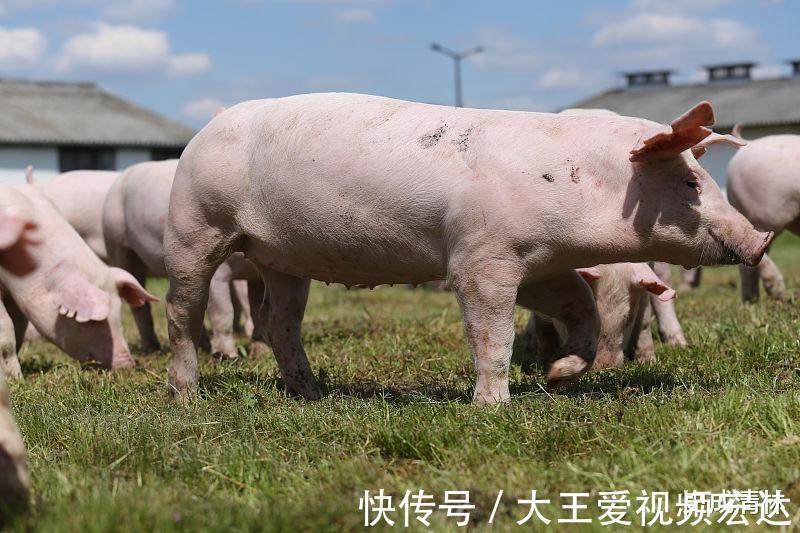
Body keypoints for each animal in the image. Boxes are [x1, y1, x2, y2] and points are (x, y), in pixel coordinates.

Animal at [0, 181, 158, 376]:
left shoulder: (17, 296)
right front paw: (16, 378)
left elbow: (18, 328)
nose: (127, 365)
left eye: (119, 312)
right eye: (90, 321)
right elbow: (6, 329)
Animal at [161, 94, 768, 404]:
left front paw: (559, 375)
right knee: (182, 311)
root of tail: (211, 124)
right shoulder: (482, 256)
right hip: (194, 225)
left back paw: (312, 395)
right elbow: (492, 335)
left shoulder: (542, 264)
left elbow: (582, 309)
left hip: (282, 257)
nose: (761, 241)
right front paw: (494, 406)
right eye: (690, 183)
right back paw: (187, 397)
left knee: (278, 318)